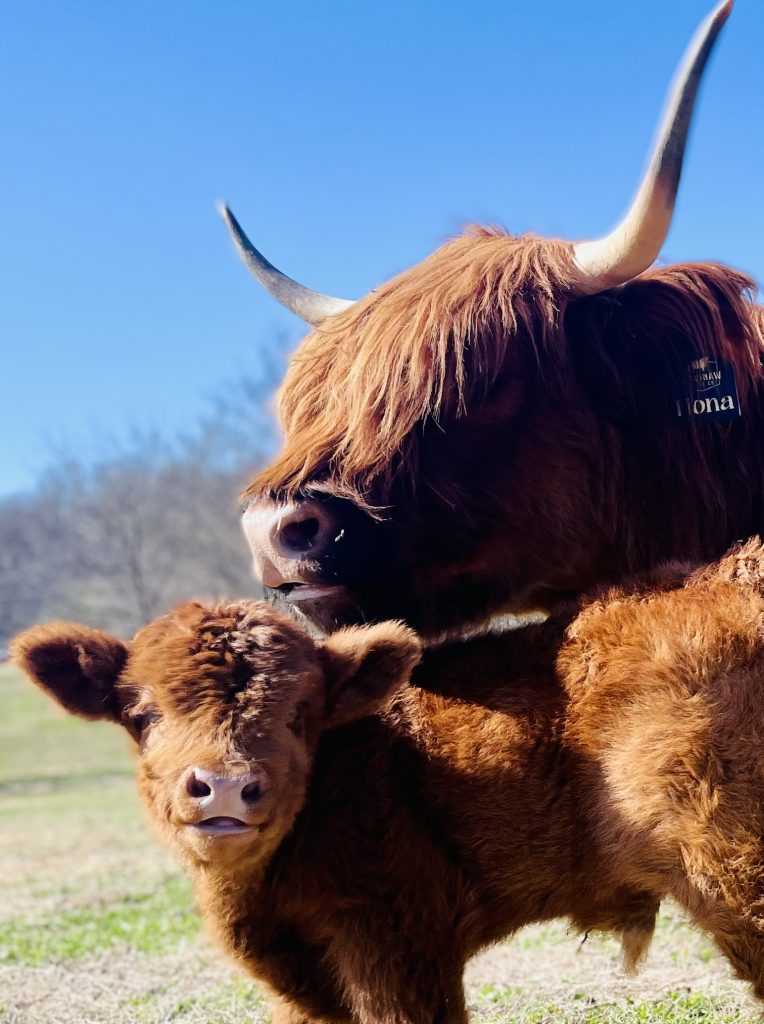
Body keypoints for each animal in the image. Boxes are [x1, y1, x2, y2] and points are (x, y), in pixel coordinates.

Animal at [13, 537, 764, 1021]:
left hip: (733, 871)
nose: (225, 788)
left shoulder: (396, 942)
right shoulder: (307, 983)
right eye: (142, 713)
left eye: (302, 714)